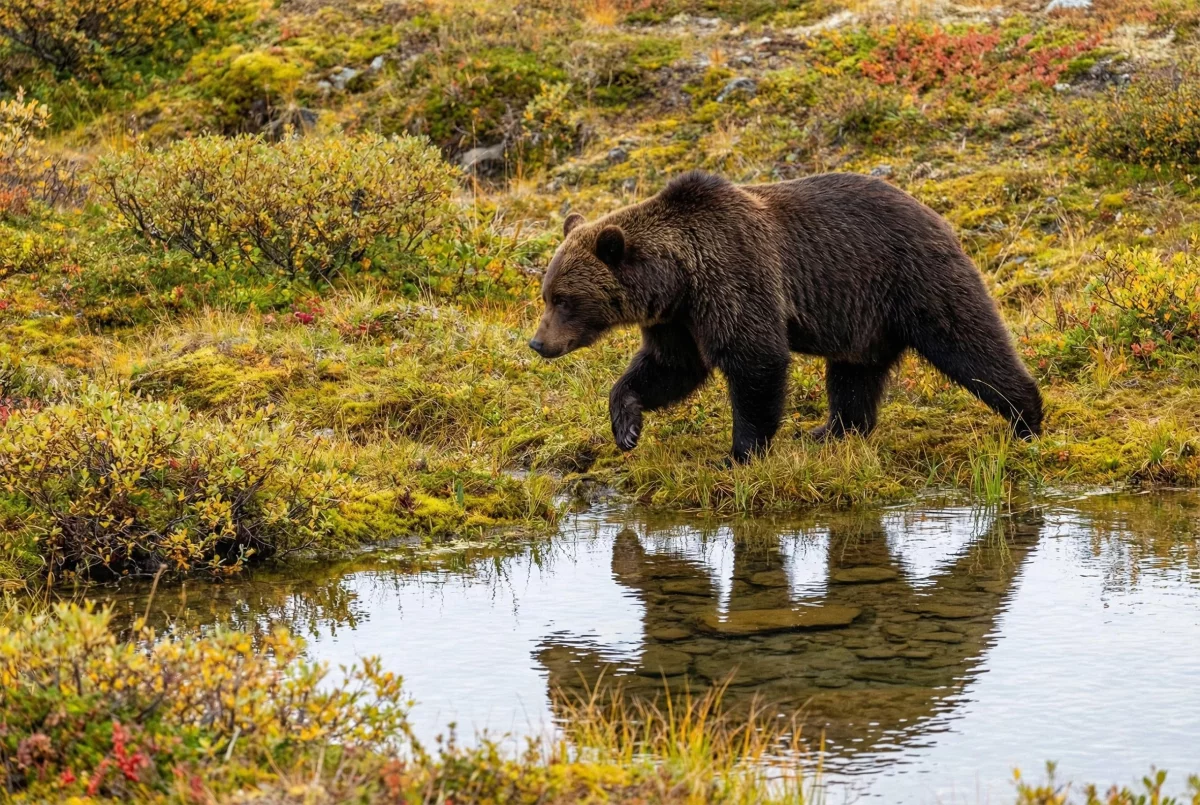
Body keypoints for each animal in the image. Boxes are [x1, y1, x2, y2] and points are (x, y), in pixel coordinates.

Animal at [528, 171, 1043, 464]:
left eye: (564, 299)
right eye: (546, 294)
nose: (538, 343)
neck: (677, 277)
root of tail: (935, 214)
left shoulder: (734, 274)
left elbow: (755, 359)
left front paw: (740, 453)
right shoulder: (676, 318)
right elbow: (671, 367)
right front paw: (626, 426)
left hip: (914, 278)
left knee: (969, 343)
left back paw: (1027, 418)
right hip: (863, 316)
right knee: (854, 375)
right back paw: (830, 431)